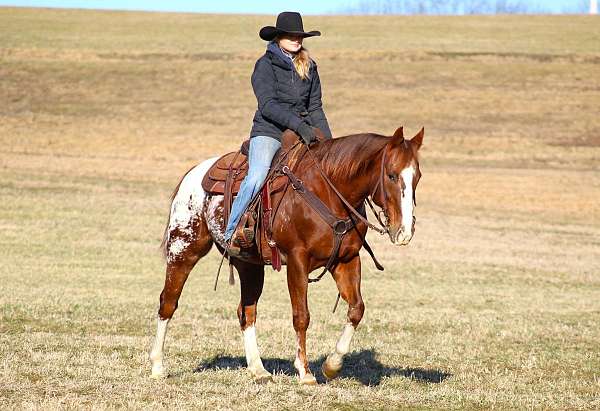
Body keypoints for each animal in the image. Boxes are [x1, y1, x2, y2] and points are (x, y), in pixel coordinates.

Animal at [149, 126, 422, 386]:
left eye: (417, 177)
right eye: (391, 175)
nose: (405, 231)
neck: (327, 192)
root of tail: (194, 173)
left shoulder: (347, 261)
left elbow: (356, 309)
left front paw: (332, 365)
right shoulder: (297, 261)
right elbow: (301, 316)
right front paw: (305, 372)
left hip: (249, 265)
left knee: (246, 312)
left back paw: (258, 370)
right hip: (184, 248)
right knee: (168, 303)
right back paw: (158, 366)